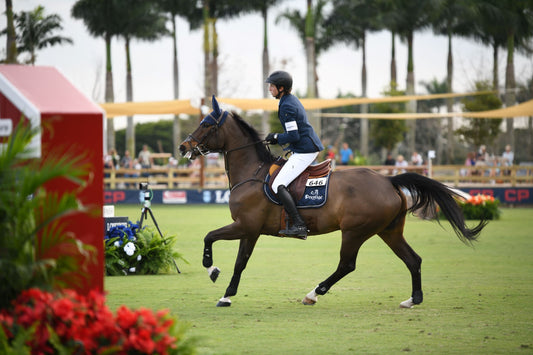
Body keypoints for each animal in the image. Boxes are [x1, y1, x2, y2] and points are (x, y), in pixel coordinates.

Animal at [179, 96, 486, 308]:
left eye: (206, 124)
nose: (183, 147)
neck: (252, 173)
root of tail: (388, 181)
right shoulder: (250, 230)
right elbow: (240, 262)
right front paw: (227, 295)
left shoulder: (245, 225)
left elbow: (210, 238)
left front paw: (211, 269)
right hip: (389, 231)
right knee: (413, 259)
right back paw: (413, 299)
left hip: (355, 231)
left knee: (346, 265)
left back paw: (313, 293)